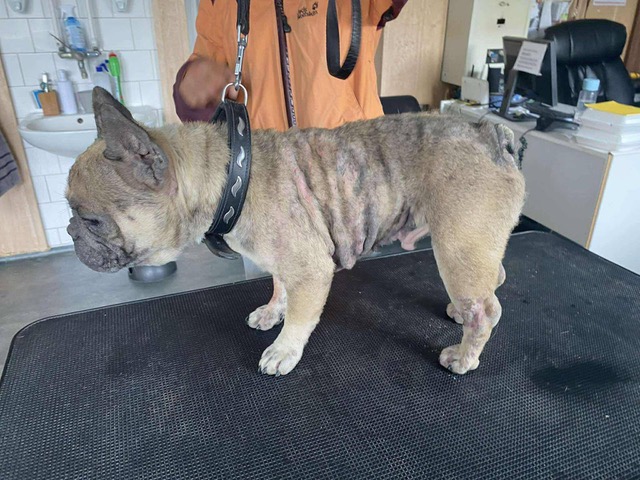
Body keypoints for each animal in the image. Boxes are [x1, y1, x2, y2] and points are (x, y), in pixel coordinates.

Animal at [66, 87, 525, 376]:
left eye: (90, 220)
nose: (70, 231)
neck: (230, 176)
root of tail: (490, 133)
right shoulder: (285, 263)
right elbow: (278, 285)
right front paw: (273, 311)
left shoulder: (310, 270)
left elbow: (302, 317)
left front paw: (284, 349)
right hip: (473, 246)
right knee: (495, 278)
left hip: (457, 245)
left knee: (487, 310)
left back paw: (464, 356)